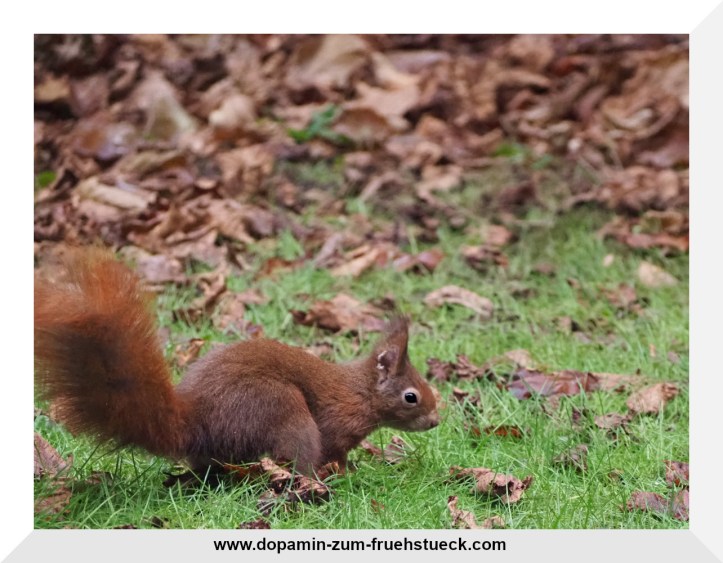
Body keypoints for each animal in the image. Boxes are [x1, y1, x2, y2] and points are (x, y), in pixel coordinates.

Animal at [34, 248, 439, 475]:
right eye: (411, 396)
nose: (436, 421)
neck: (360, 392)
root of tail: (193, 424)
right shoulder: (336, 422)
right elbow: (334, 447)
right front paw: (346, 469)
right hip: (280, 408)